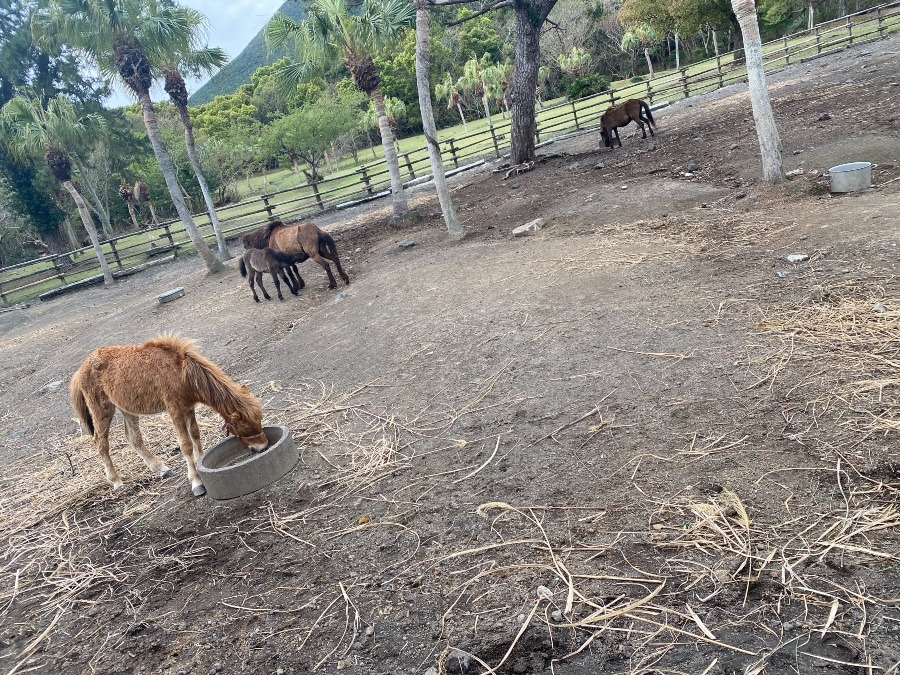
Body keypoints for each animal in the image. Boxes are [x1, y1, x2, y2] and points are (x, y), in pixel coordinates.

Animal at [70, 336, 268, 496]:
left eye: (259, 420)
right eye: (246, 427)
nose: (263, 446)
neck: (181, 372)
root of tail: (80, 370)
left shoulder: (189, 408)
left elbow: (195, 434)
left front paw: (200, 462)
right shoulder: (175, 410)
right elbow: (186, 444)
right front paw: (196, 483)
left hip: (126, 408)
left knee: (133, 438)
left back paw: (161, 469)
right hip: (101, 409)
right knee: (101, 443)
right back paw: (117, 483)